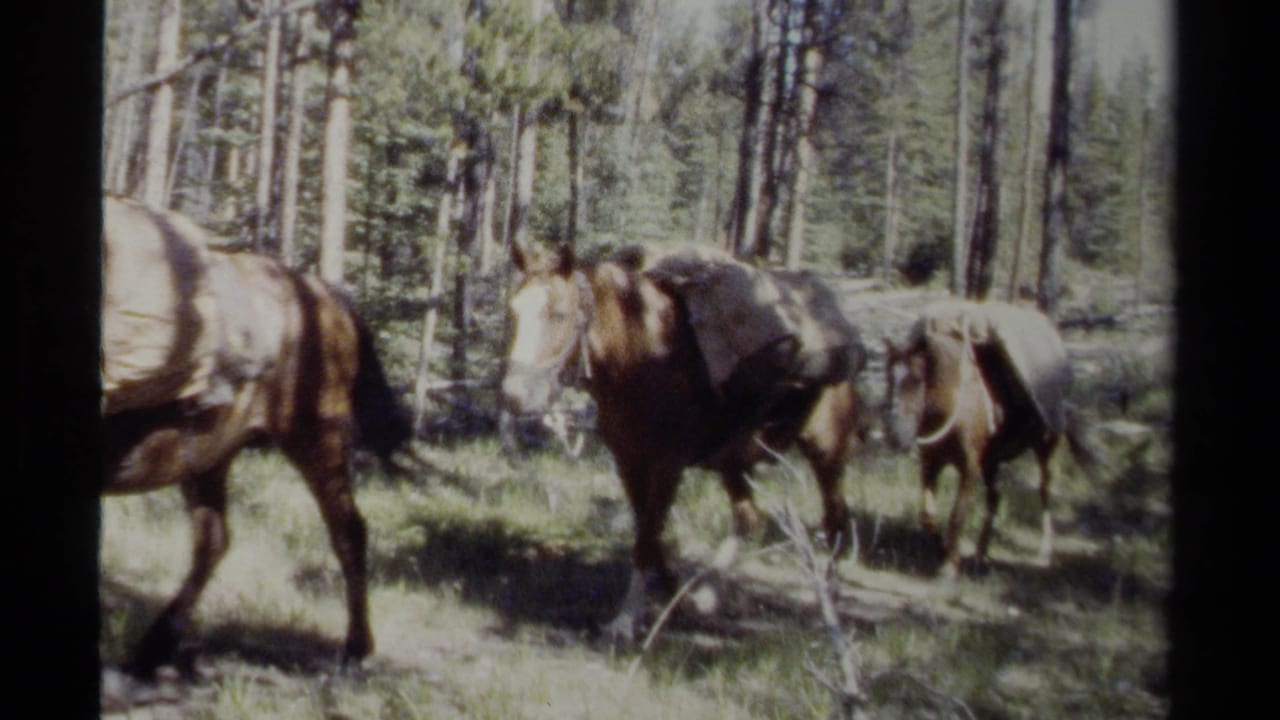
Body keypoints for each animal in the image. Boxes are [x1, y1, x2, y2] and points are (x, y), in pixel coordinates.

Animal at [101, 196, 411, 679]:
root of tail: (327, 295)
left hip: (315, 441)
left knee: (348, 531)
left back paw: (355, 649)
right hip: (211, 457)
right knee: (212, 541)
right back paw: (153, 648)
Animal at [499, 242, 870, 639]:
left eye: (558, 314)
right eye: (514, 311)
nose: (515, 395)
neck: (640, 357)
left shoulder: (667, 465)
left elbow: (647, 537)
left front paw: (626, 620)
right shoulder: (629, 462)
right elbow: (648, 532)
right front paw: (672, 595)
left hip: (827, 453)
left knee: (834, 521)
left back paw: (827, 605)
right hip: (731, 461)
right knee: (748, 518)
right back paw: (707, 596)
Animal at [881, 300, 1101, 578]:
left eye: (918, 379)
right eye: (889, 377)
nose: (894, 434)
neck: (954, 404)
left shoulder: (969, 469)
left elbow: (957, 515)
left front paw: (949, 566)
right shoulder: (931, 465)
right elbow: (928, 515)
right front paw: (944, 550)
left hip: (1045, 451)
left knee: (1044, 493)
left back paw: (1043, 553)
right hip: (992, 464)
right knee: (995, 500)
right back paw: (979, 554)